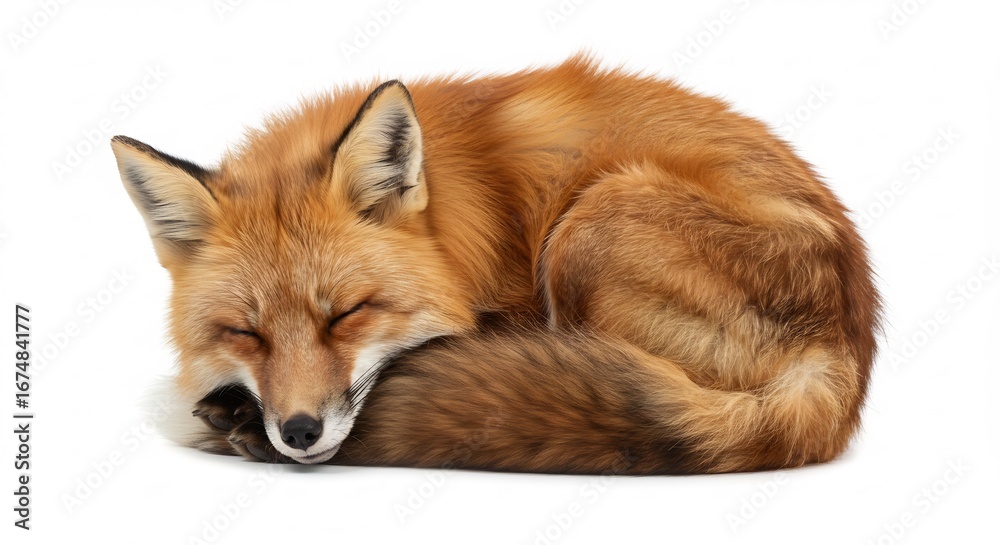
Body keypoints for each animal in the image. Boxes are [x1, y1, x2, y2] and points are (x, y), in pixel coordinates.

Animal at [111, 55, 880, 474]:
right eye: (247, 334)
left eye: (348, 315)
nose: (299, 432)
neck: (461, 217)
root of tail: (847, 351)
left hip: (591, 224)